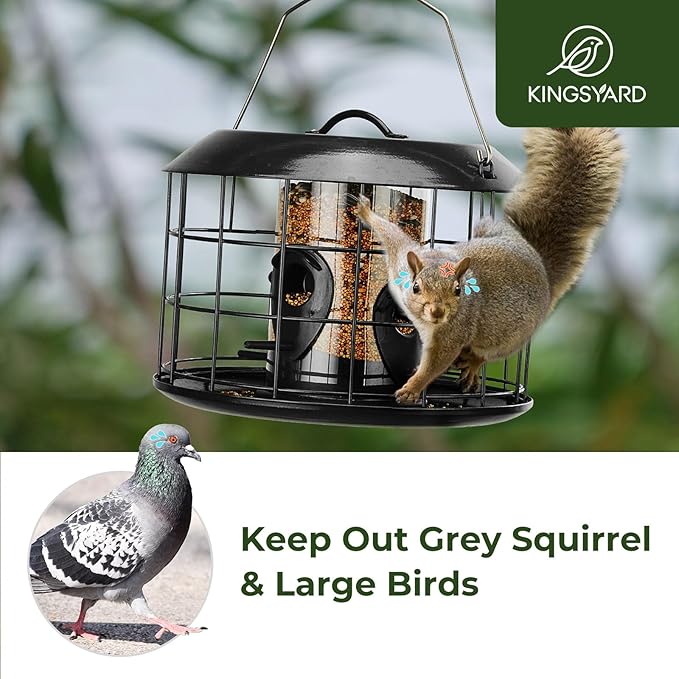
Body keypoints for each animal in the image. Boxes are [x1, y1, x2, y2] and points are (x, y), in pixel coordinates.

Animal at [356, 127, 626, 404]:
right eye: (416, 287)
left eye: (458, 290)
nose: (438, 312)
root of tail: (541, 268)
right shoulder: (400, 258)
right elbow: (392, 234)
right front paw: (365, 211)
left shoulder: (454, 331)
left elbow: (436, 362)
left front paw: (411, 389)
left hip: (508, 336)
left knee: (486, 353)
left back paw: (473, 363)